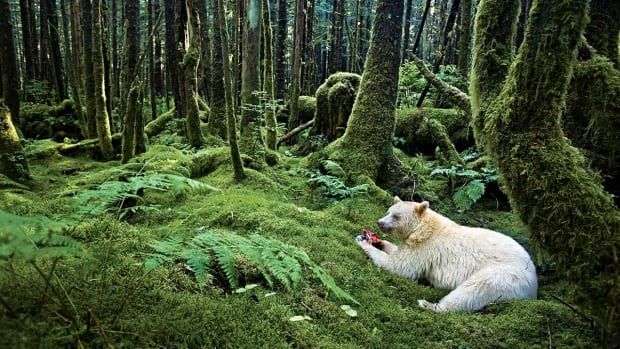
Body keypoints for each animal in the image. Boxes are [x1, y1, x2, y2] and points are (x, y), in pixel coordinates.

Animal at [358, 194, 536, 312]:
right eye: (388, 211)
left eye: (396, 216)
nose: (379, 222)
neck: (424, 227)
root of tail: (534, 283)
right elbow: (397, 253)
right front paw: (377, 241)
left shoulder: (425, 247)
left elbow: (401, 267)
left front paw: (363, 242)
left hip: (505, 276)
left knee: (474, 290)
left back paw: (429, 305)